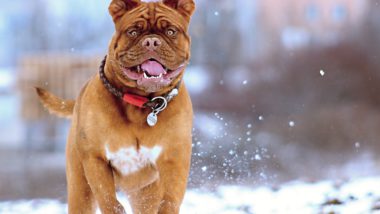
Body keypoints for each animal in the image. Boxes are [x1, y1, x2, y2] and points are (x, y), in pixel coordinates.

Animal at [35, 0, 194, 213]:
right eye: (133, 32)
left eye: (170, 31)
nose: (152, 42)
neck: (141, 103)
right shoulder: (95, 158)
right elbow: (107, 198)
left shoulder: (174, 159)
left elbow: (170, 198)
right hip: (80, 188)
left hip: (145, 192)